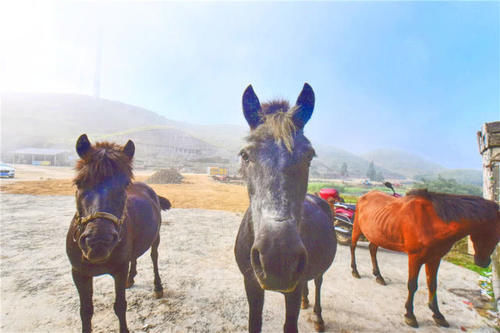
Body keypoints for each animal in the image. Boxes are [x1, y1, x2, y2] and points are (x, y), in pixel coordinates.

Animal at [65, 134, 171, 332]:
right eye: (79, 182)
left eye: (124, 185)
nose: (98, 242)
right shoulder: (79, 273)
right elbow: (86, 311)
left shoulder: (119, 270)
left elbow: (120, 306)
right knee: (134, 256)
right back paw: (132, 278)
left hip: (156, 237)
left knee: (154, 257)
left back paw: (157, 287)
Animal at [234, 83, 336, 332]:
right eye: (245, 155)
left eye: (309, 156)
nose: (277, 259)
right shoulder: (251, 283)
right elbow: (254, 323)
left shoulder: (293, 288)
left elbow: (290, 325)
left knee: (318, 281)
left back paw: (317, 316)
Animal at [350, 189, 500, 326]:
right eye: (495, 234)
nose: (483, 262)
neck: (432, 222)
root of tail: (364, 196)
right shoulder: (415, 258)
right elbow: (412, 285)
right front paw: (410, 315)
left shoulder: (434, 258)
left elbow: (432, 285)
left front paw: (437, 314)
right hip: (357, 228)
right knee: (353, 246)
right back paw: (355, 271)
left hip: (376, 234)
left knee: (372, 250)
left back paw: (379, 276)